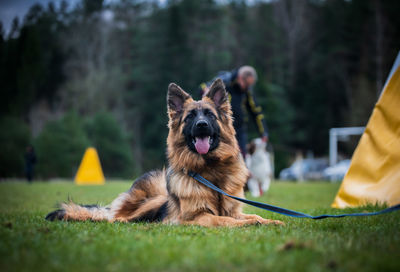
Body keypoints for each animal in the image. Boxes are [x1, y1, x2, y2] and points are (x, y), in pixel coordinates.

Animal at [46, 79, 284, 227]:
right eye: (190, 117)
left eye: (209, 114)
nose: (201, 125)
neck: (211, 171)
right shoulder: (197, 217)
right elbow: (228, 220)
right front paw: (251, 223)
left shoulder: (234, 210)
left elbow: (254, 213)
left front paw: (271, 221)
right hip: (150, 203)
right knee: (116, 218)